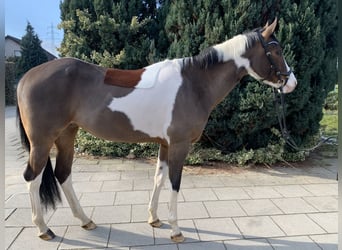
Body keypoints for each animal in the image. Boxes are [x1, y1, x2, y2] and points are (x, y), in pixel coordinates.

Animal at [16, 19, 296, 242]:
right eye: (276, 50)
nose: (292, 82)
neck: (194, 84)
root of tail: (26, 76)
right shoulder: (180, 145)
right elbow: (174, 182)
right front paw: (176, 230)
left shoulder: (165, 144)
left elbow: (159, 179)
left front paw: (154, 218)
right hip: (42, 142)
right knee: (33, 178)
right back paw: (43, 228)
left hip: (67, 135)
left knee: (63, 174)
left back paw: (85, 220)